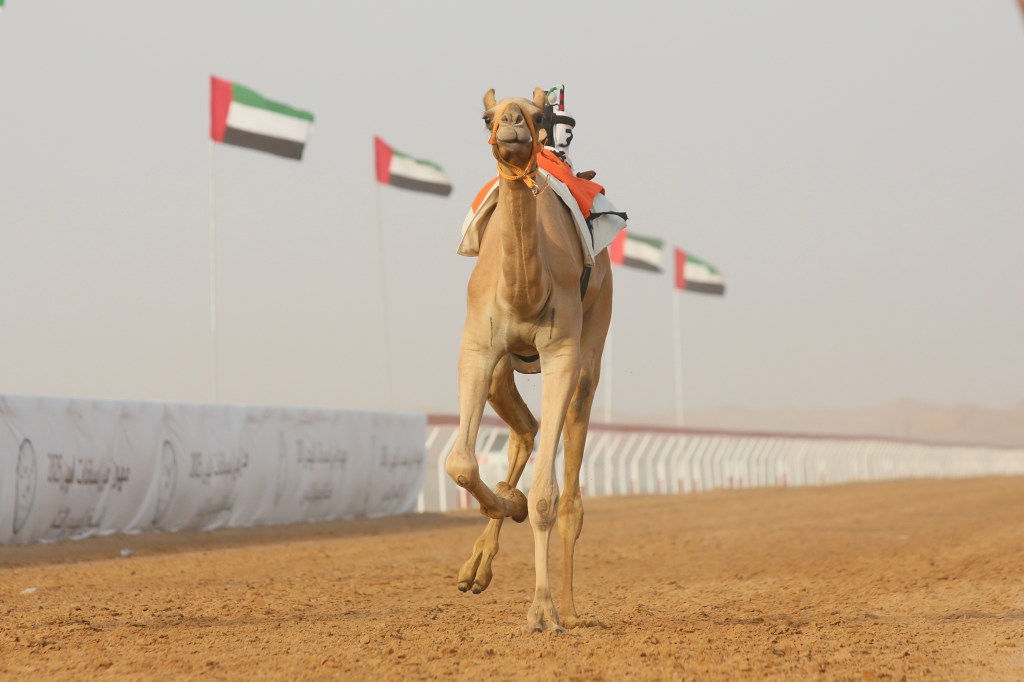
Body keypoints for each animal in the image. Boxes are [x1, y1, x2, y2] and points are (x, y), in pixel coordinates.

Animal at [444, 87, 613, 633]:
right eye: (486, 117)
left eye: (539, 116)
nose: (513, 124)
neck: (525, 292)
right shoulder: (478, 348)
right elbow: (459, 463)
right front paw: (507, 503)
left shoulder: (561, 353)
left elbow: (546, 496)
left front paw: (542, 610)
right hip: (502, 370)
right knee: (524, 430)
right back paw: (476, 565)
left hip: (594, 338)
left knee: (571, 485)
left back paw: (572, 607)